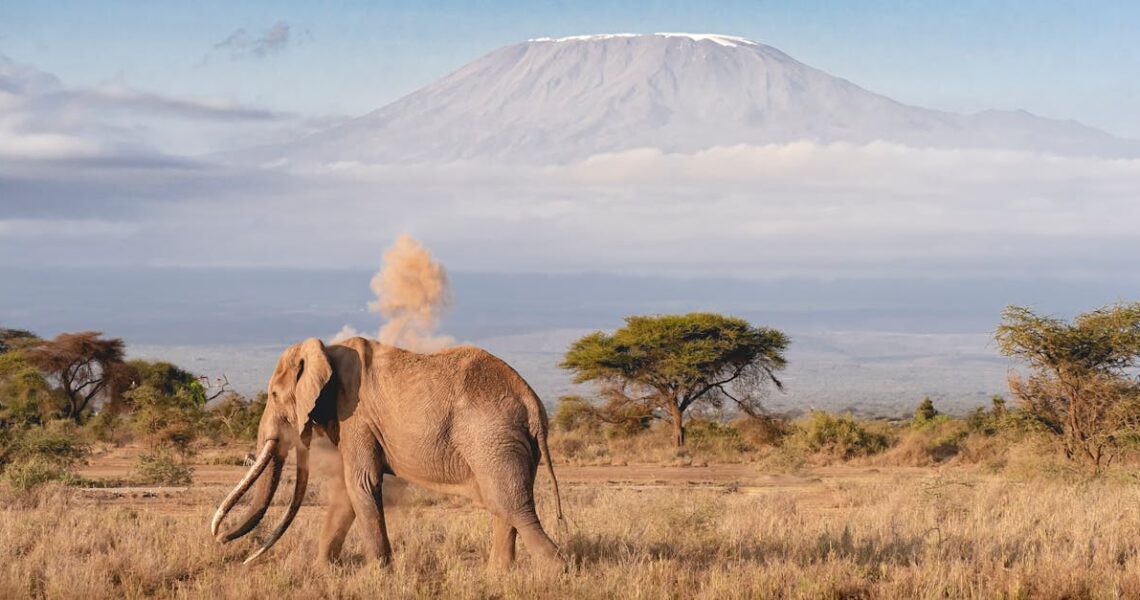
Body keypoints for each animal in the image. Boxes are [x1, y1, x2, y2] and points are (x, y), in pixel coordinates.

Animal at [210, 335, 565, 572]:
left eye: (273, 394)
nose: (225, 542)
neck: (327, 350)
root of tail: (532, 402)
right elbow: (347, 491)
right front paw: (324, 571)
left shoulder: (356, 415)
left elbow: (361, 483)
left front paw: (379, 575)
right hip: (506, 443)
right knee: (503, 505)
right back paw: (497, 576)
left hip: (492, 438)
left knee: (513, 507)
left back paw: (556, 572)